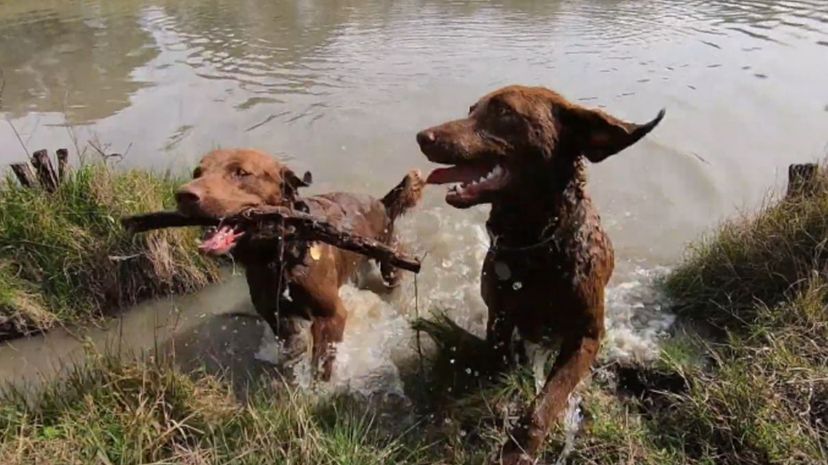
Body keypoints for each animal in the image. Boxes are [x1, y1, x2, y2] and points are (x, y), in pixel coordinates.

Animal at [174, 150, 420, 378]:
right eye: (197, 172)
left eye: (241, 172)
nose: (183, 195)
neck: (279, 255)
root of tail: (382, 202)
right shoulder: (276, 316)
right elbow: (292, 351)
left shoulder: (331, 315)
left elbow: (322, 365)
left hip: (390, 263)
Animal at [418, 85, 664, 462]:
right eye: (472, 109)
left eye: (504, 112)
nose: (423, 136)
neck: (534, 246)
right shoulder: (499, 315)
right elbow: (498, 358)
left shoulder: (587, 335)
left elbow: (549, 398)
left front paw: (519, 447)